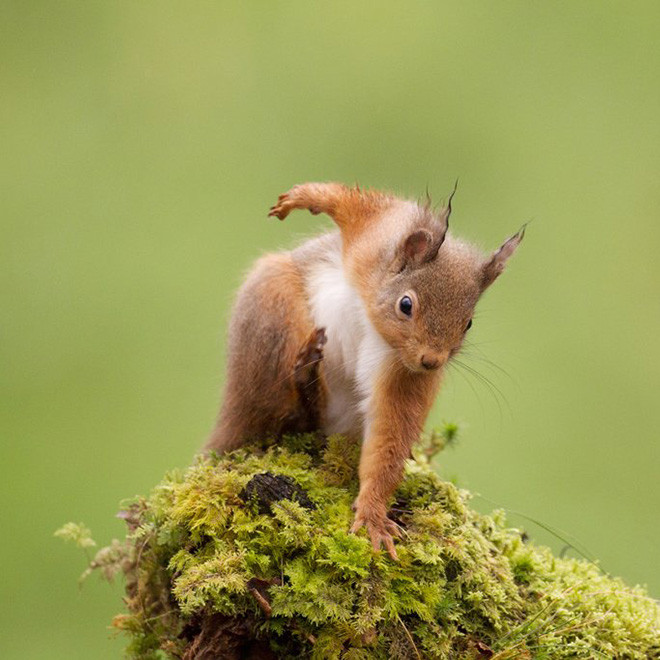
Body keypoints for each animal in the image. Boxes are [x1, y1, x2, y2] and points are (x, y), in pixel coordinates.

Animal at [204, 183, 524, 560]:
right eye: (406, 304)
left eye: (469, 323)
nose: (431, 361)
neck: (372, 320)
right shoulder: (375, 238)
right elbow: (351, 204)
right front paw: (302, 198)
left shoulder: (402, 375)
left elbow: (389, 437)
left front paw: (373, 514)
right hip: (273, 306)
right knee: (281, 409)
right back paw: (306, 373)